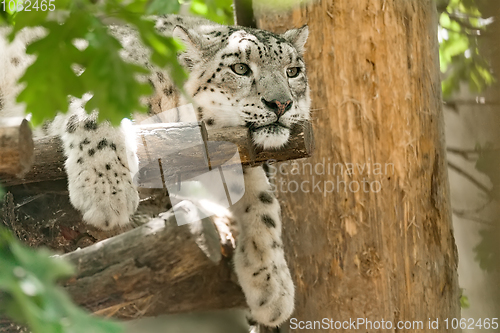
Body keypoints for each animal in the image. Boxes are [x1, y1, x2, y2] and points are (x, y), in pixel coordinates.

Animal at [0, 14, 310, 326]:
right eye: (241, 68)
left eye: (293, 71)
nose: (281, 103)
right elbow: (98, 115)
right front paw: (107, 195)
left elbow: (262, 200)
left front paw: (274, 286)